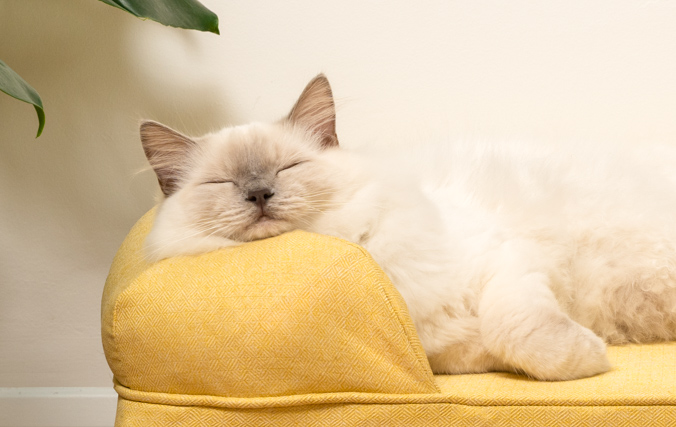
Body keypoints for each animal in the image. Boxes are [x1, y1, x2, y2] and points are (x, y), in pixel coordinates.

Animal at [139, 72, 676, 382]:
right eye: (223, 183)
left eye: (288, 168)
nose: (258, 194)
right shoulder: (448, 351)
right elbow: (500, 344)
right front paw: (591, 352)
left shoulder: (509, 259)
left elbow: (517, 329)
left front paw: (591, 358)